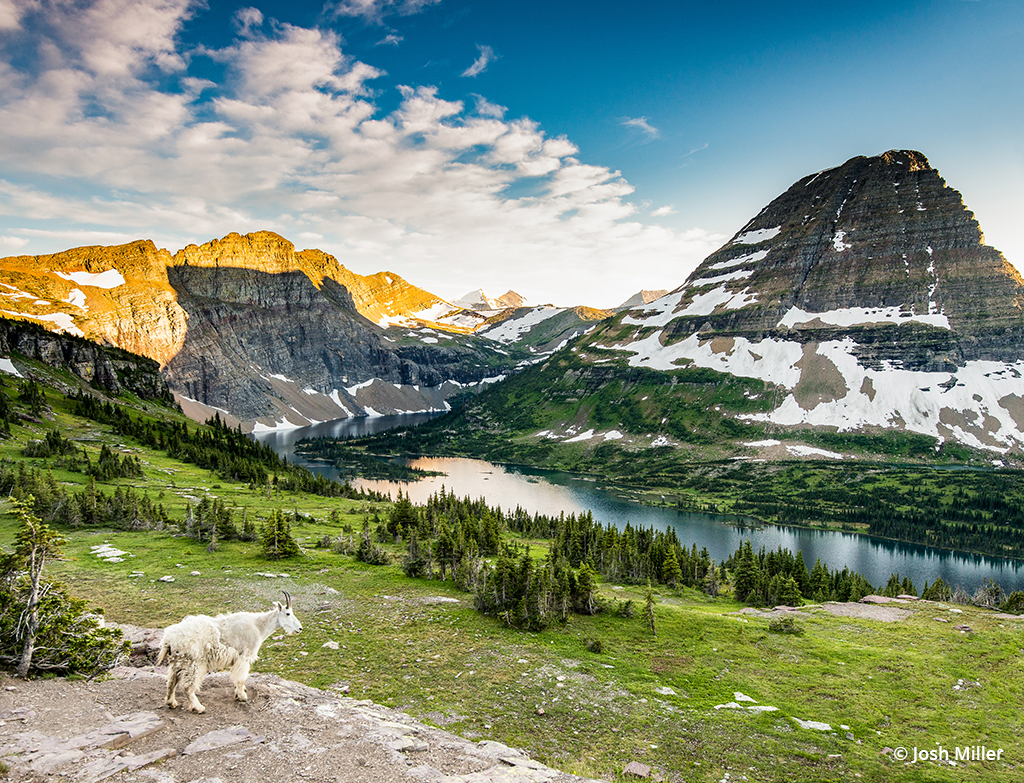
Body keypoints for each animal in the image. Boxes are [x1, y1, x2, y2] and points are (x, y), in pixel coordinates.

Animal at [155, 593, 299, 716]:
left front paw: (240, 692)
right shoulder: (243, 656)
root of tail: (168, 639)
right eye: (288, 613)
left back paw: (171, 703)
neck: (258, 626)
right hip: (193, 662)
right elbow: (241, 678)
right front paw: (242, 697)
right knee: (187, 686)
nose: (300, 628)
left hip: (179, 661)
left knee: (171, 681)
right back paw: (199, 708)